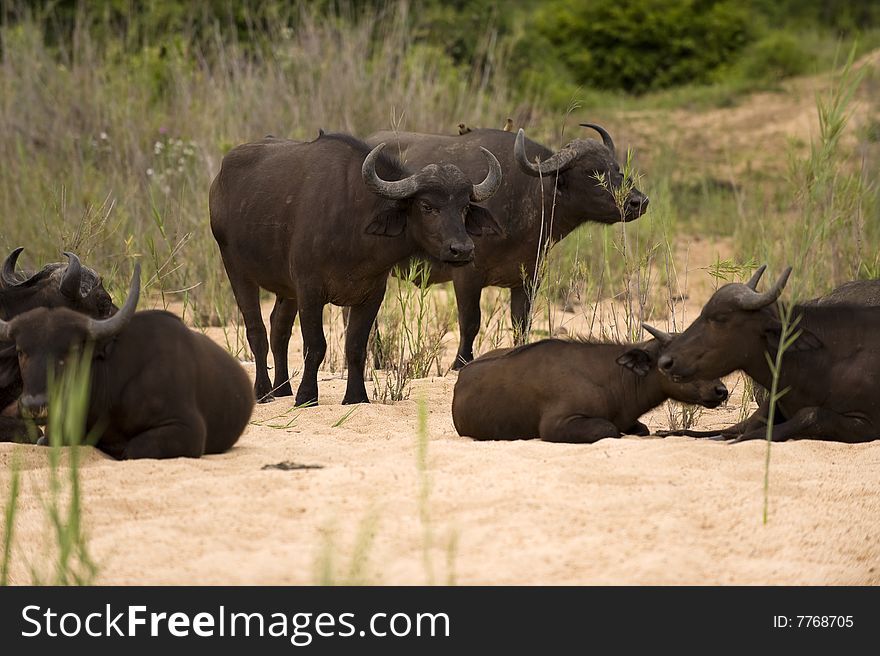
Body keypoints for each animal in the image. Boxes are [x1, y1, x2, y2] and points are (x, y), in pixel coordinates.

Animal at [208, 131, 502, 404]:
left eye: (464, 207)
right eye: (427, 206)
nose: (462, 249)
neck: (353, 224)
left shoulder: (370, 294)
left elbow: (357, 346)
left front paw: (356, 396)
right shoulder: (309, 291)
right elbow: (315, 345)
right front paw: (307, 396)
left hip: (285, 289)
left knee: (278, 330)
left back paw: (282, 389)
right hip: (236, 270)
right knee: (256, 331)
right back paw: (263, 391)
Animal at [450, 336, 724, 444]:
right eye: (672, 361)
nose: (721, 390)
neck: (614, 380)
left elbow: (641, 429)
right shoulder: (556, 424)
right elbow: (609, 429)